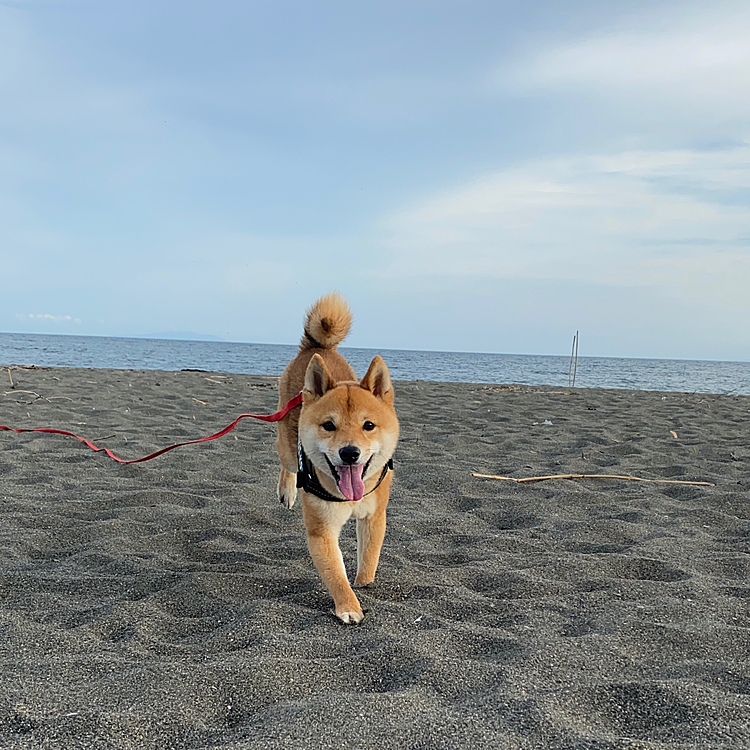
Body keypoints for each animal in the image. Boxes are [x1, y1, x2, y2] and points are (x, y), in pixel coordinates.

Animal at [276, 292, 402, 624]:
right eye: (329, 426)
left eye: (368, 425)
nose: (349, 452)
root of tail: (317, 347)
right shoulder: (322, 531)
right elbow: (335, 574)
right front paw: (349, 606)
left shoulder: (374, 517)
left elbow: (369, 560)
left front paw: (364, 585)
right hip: (288, 445)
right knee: (285, 461)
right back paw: (287, 490)